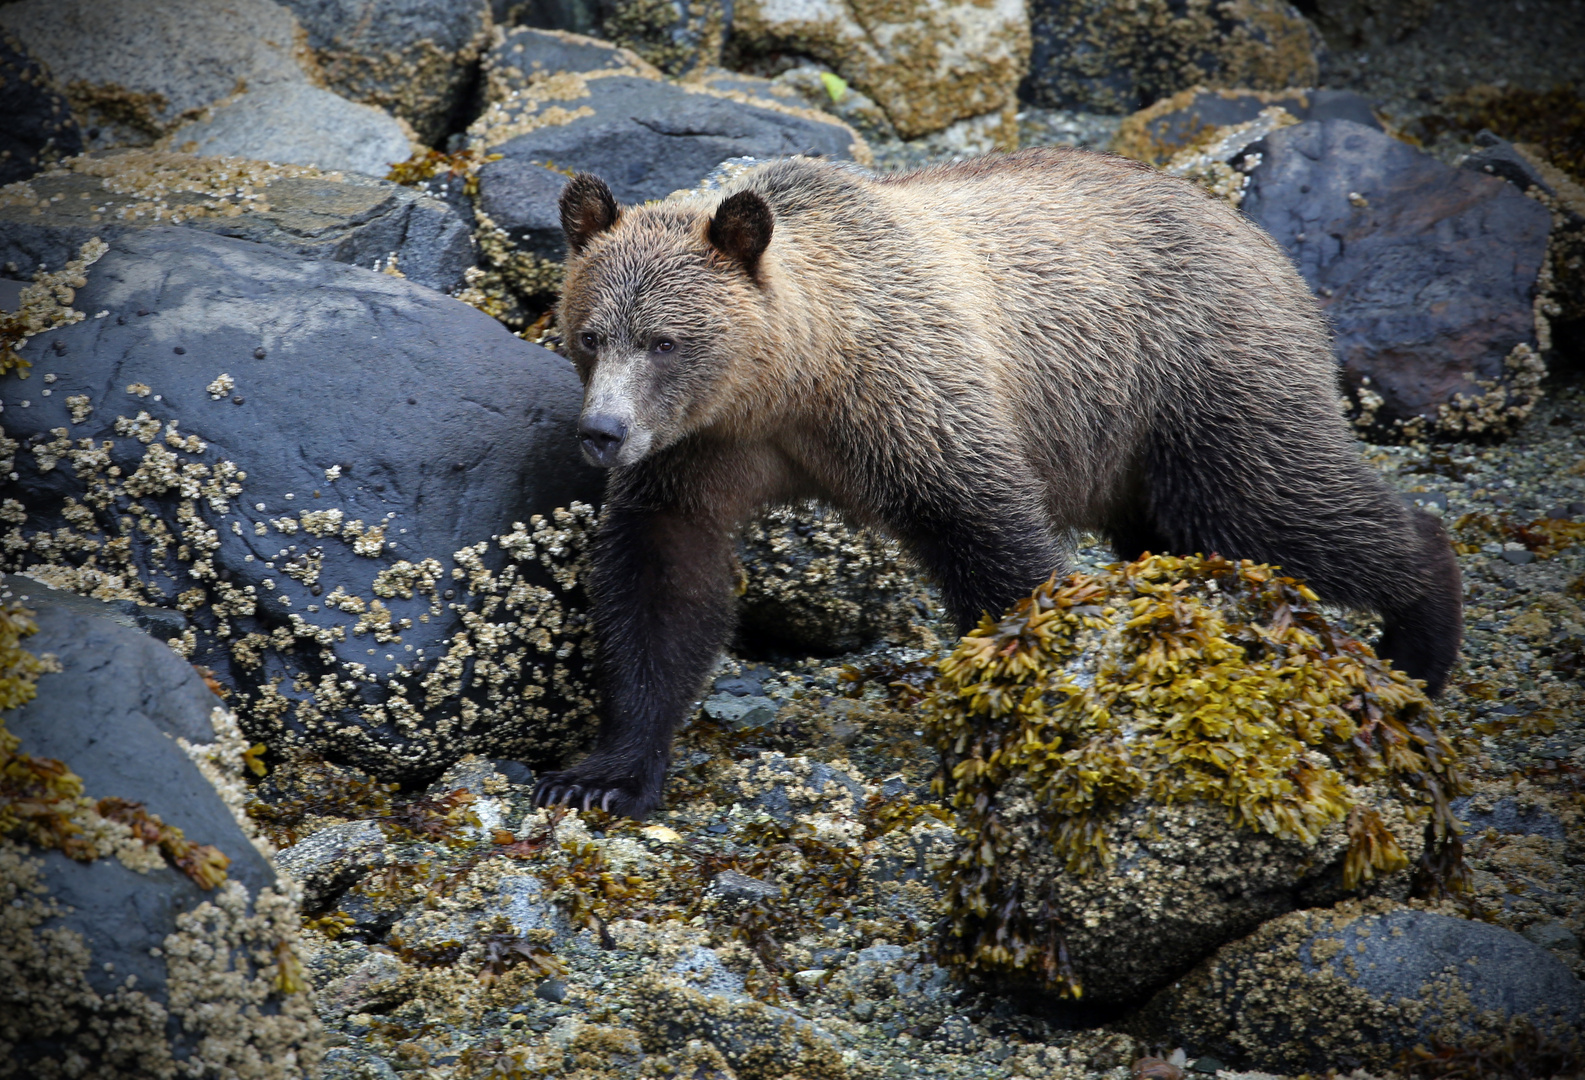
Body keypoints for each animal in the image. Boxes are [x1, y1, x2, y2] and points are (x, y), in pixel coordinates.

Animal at [532, 147, 1458, 811]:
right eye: (590, 334)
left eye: (664, 341)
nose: (602, 433)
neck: (793, 376)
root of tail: (1255, 235)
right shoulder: (701, 453)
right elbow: (662, 581)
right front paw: (601, 775)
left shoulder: (906, 396)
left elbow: (991, 541)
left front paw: (1027, 716)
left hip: (1199, 380)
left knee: (1274, 506)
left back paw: (1419, 634)